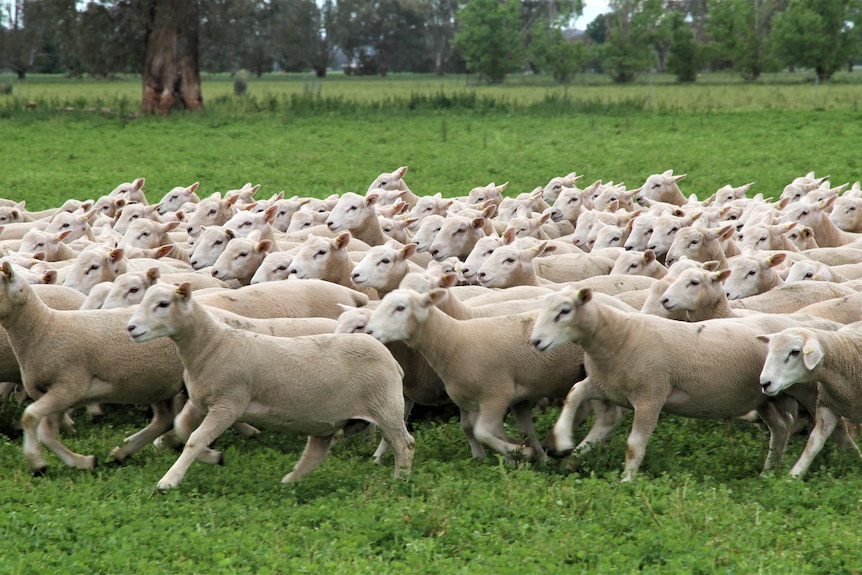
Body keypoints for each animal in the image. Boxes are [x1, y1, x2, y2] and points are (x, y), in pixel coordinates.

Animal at [127, 282, 413, 491]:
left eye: (163, 304)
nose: (131, 328)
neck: (213, 345)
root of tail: (392, 360)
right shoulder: (203, 401)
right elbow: (184, 429)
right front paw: (213, 456)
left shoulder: (228, 404)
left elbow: (194, 439)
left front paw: (169, 480)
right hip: (328, 419)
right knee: (317, 452)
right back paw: (290, 481)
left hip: (385, 407)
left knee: (404, 444)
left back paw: (400, 482)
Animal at [364, 288, 585, 461]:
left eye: (400, 308)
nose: (369, 332)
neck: (454, 340)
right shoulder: (472, 401)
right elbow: (477, 430)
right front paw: (513, 458)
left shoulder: (496, 395)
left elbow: (482, 433)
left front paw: (521, 453)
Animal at [529, 286, 812, 481]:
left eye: (564, 311)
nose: (535, 342)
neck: (619, 336)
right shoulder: (607, 385)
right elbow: (574, 393)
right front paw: (563, 442)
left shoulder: (651, 395)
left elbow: (634, 445)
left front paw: (626, 480)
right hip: (766, 395)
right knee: (780, 426)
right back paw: (768, 471)